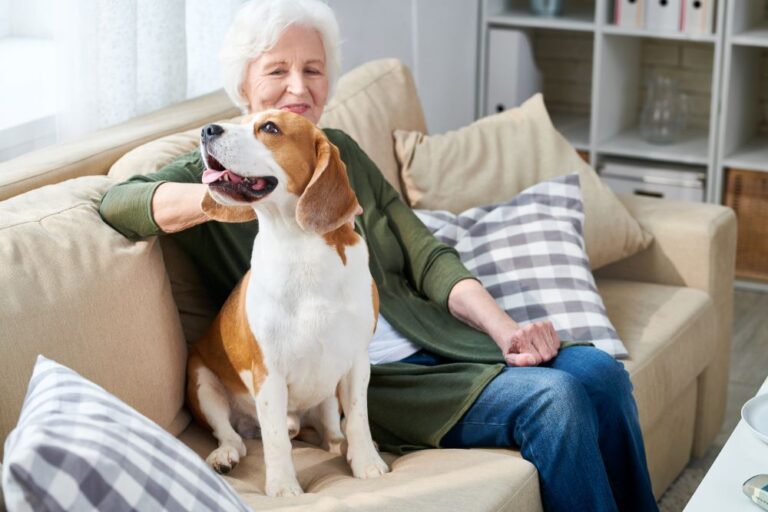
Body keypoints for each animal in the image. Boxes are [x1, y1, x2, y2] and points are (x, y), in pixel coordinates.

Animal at [187, 111, 390, 496]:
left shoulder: (357, 361)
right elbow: (276, 439)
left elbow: (358, 418)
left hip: (326, 396)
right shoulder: (269, 374)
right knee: (232, 435)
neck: (300, 247)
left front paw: (367, 463)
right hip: (202, 384)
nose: (206, 130)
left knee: (331, 429)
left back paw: (339, 443)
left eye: (269, 128)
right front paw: (283, 486)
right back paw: (226, 454)